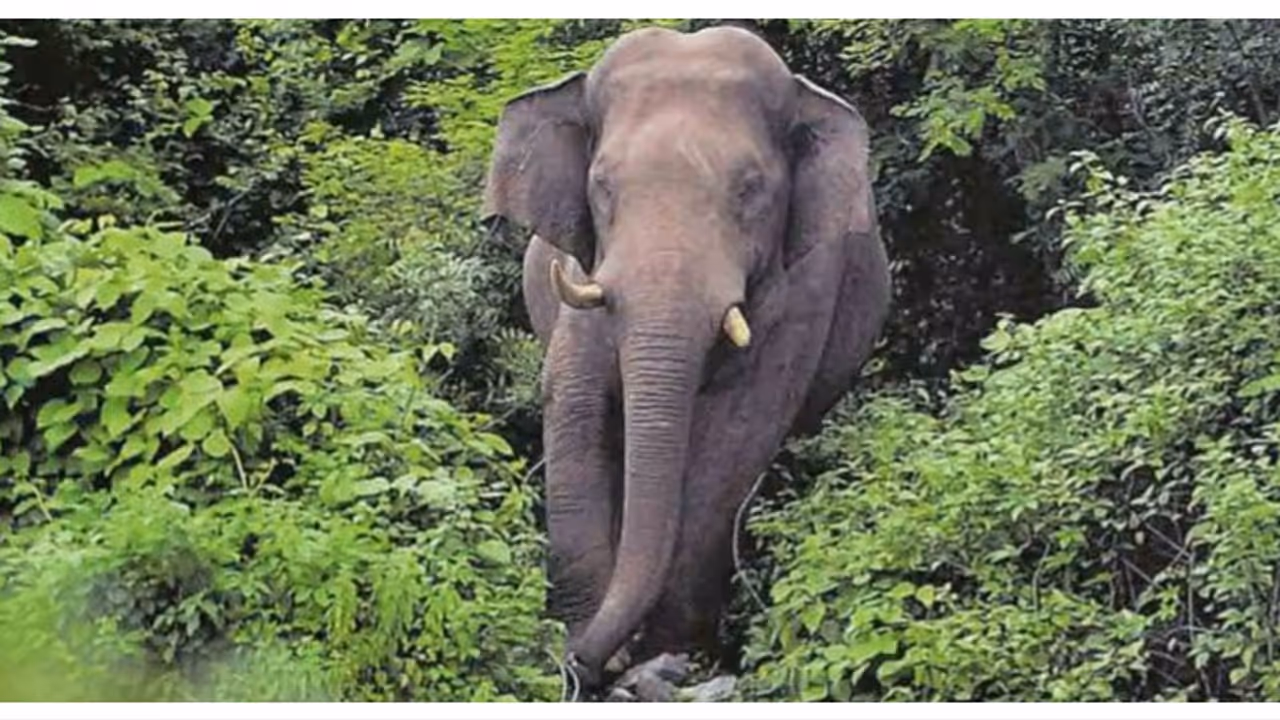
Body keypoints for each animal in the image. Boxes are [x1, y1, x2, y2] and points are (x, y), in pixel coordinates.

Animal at [481, 25, 891, 689]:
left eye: (751, 190)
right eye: (602, 185)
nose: (581, 668)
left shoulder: (808, 286)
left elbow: (739, 430)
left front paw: (667, 654)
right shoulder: (582, 272)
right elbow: (575, 403)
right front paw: (592, 640)